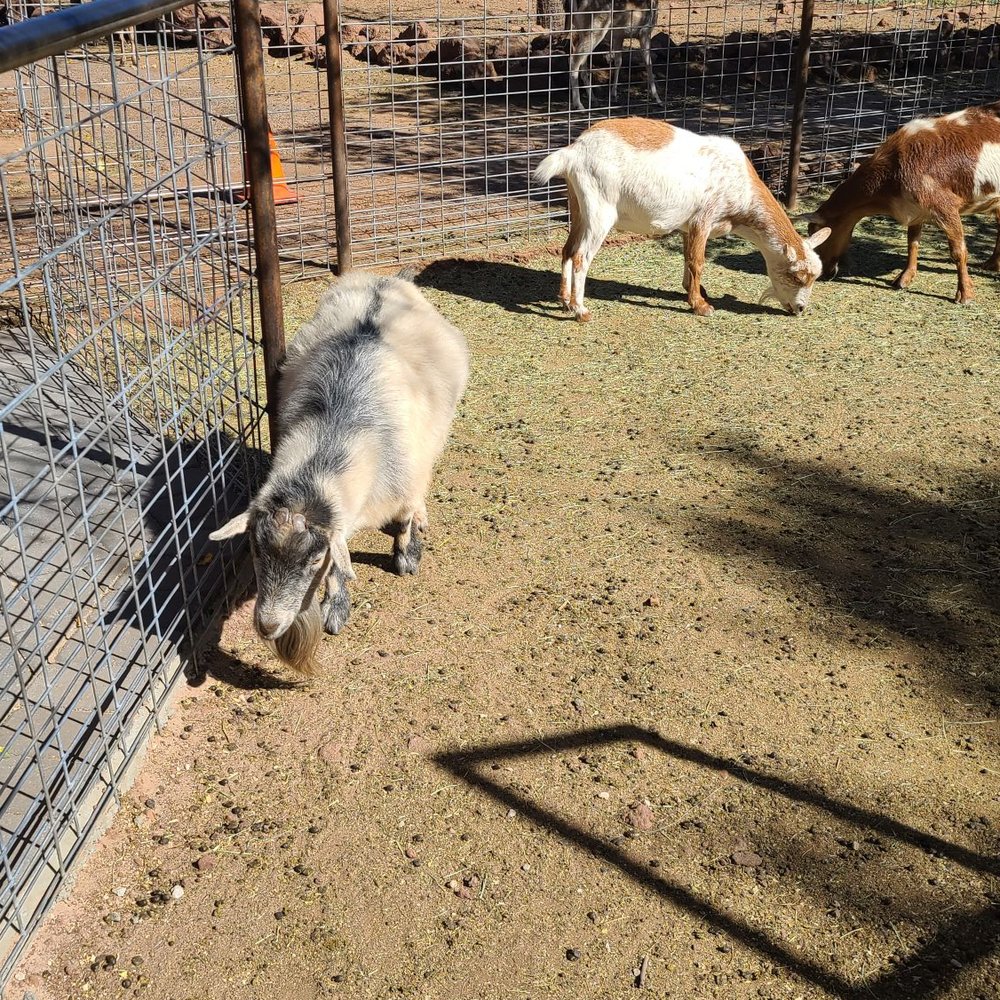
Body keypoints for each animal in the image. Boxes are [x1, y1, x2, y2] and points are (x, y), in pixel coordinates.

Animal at [209, 272, 469, 676]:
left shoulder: (403, 478)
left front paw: (406, 557)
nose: (268, 626)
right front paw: (336, 606)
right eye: (254, 548)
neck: (335, 431)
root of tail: (384, 280)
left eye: (313, 559)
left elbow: (404, 517)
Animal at [533, 117, 830, 318]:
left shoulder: (688, 226)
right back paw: (580, 310)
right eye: (797, 276)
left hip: (578, 205)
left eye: (814, 277)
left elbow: (687, 258)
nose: (800, 308)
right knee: (581, 256)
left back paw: (565, 300)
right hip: (600, 211)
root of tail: (574, 151)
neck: (740, 186)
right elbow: (697, 261)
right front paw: (701, 306)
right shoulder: (703, 219)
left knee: (567, 249)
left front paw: (692, 292)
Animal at [805, 102, 1000, 303]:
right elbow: (912, 243)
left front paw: (964, 294)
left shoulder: (945, 206)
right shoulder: (916, 211)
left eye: (818, 235)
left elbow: (958, 251)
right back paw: (992, 264)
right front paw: (903, 279)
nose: (825, 272)